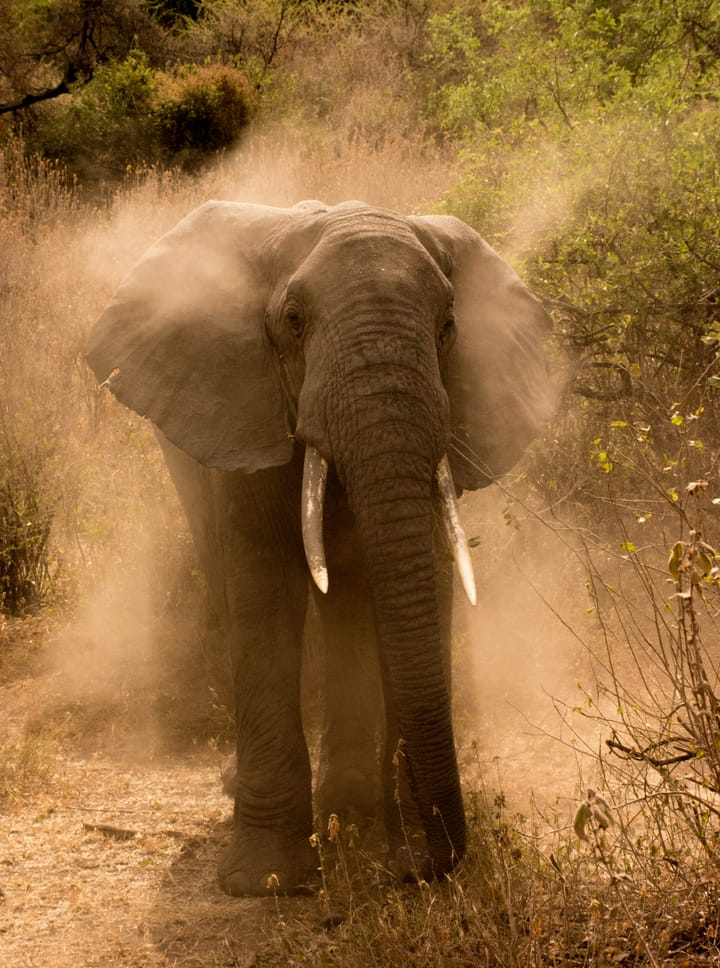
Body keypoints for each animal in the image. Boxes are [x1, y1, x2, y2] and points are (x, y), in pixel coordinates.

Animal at [86, 199, 552, 896]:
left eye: (448, 326)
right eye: (293, 322)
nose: (413, 865)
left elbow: (417, 579)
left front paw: (370, 835)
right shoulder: (245, 408)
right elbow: (264, 586)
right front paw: (265, 882)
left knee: (345, 601)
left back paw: (346, 807)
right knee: (229, 580)